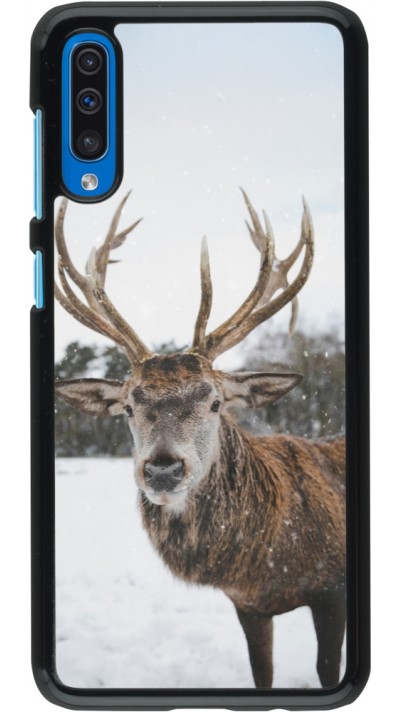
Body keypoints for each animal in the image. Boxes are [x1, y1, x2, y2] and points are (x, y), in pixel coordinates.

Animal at [54, 190, 346, 689]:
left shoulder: (333, 590)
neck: (267, 563)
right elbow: (262, 673)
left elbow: (328, 669)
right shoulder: (248, 605)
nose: (163, 469)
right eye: (128, 407)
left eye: (214, 402)